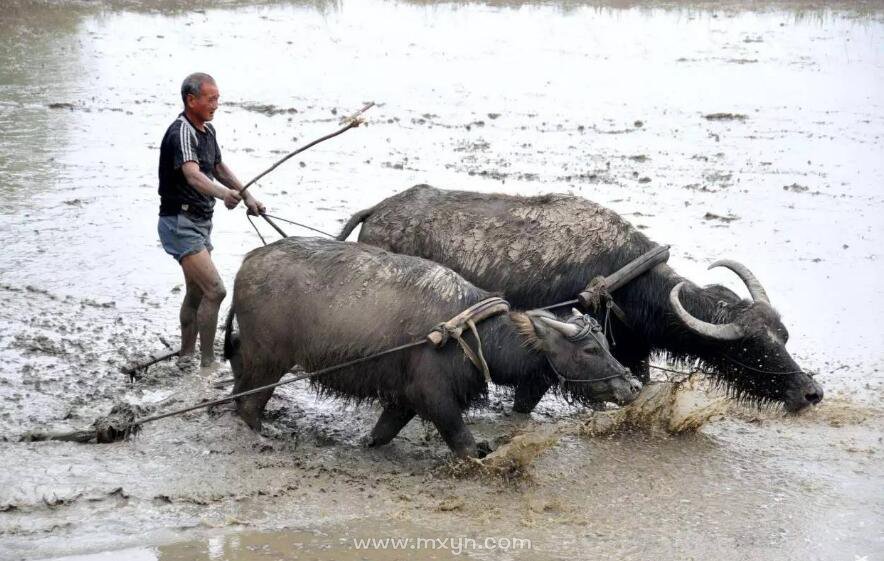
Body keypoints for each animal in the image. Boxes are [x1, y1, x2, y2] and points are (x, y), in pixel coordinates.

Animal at [224, 234, 640, 458]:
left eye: (605, 342)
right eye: (589, 350)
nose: (633, 384)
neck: (471, 333)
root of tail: (248, 263)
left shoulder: (401, 398)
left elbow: (382, 432)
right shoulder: (433, 394)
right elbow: (463, 441)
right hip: (269, 359)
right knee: (249, 403)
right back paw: (264, 432)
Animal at [340, 184, 828, 412]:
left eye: (783, 337)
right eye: (752, 345)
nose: (810, 392)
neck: (622, 277)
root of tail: (377, 210)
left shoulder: (633, 351)